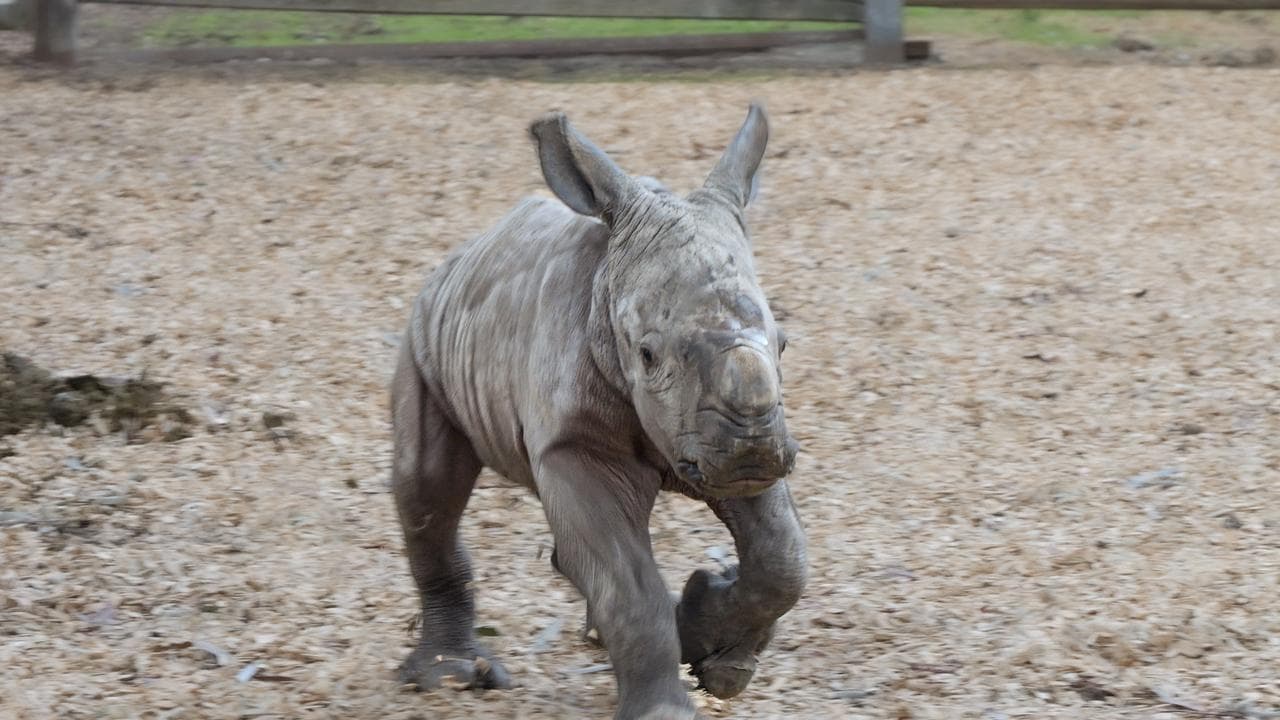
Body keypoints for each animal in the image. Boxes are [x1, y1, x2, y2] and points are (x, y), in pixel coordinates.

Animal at [390, 103, 806, 720]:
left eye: (783, 345)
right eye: (648, 355)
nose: (749, 453)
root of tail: (461, 254)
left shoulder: (717, 438)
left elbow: (783, 554)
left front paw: (715, 653)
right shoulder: (573, 444)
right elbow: (625, 581)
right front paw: (666, 706)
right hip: (423, 333)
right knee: (427, 487)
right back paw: (450, 679)